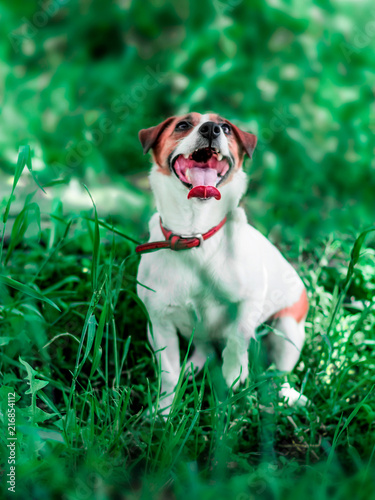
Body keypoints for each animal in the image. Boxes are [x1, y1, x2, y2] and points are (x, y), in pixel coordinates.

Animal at [137, 113, 310, 414]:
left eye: (226, 127)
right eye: (183, 124)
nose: (211, 129)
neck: (195, 235)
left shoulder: (249, 301)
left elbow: (237, 341)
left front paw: (232, 381)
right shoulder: (159, 322)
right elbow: (168, 374)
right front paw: (163, 412)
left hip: (287, 329)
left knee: (279, 373)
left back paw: (286, 397)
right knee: (204, 350)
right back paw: (193, 367)